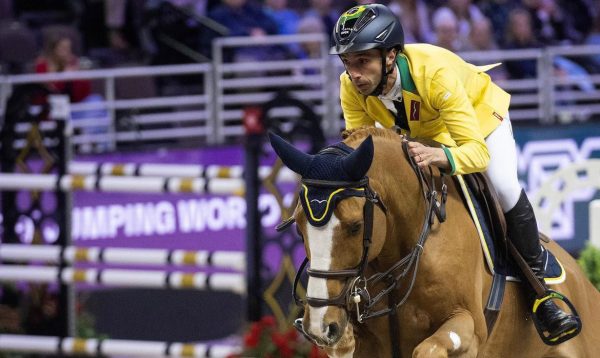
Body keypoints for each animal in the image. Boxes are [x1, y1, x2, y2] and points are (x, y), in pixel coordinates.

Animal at [270, 129, 600, 358]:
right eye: (298, 227)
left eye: (355, 226)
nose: (320, 325)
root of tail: (583, 279)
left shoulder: (468, 327)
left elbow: (428, 348)